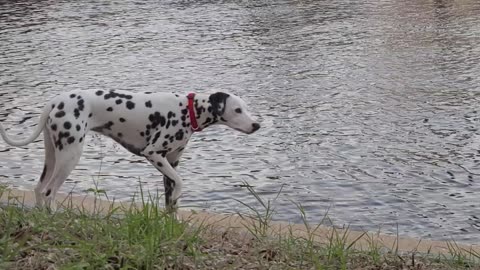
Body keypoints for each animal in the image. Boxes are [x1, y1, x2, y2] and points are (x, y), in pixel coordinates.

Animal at [0, 89, 260, 212]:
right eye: (237, 110)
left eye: (246, 108)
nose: (256, 125)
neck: (187, 110)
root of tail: (55, 101)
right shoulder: (154, 155)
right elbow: (181, 183)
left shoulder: (170, 165)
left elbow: (171, 204)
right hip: (69, 157)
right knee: (48, 193)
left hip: (53, 156)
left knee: (38, 189)